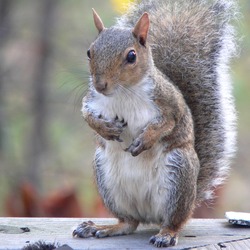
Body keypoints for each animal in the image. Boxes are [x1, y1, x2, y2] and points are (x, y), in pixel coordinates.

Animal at [73, 0, 238, 246]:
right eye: (89, 52)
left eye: (131, 56)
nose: (101, 84)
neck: (124, 93)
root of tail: (148, 215)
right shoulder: (92, 100)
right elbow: (87, 115)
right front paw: (105, 128)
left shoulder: (170, 104)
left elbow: (169, 124)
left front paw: (145, 140)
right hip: (107, 179)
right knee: (128, 222)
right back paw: (103, 227)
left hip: (178, 174)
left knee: (174, 221)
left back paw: (166, 234)